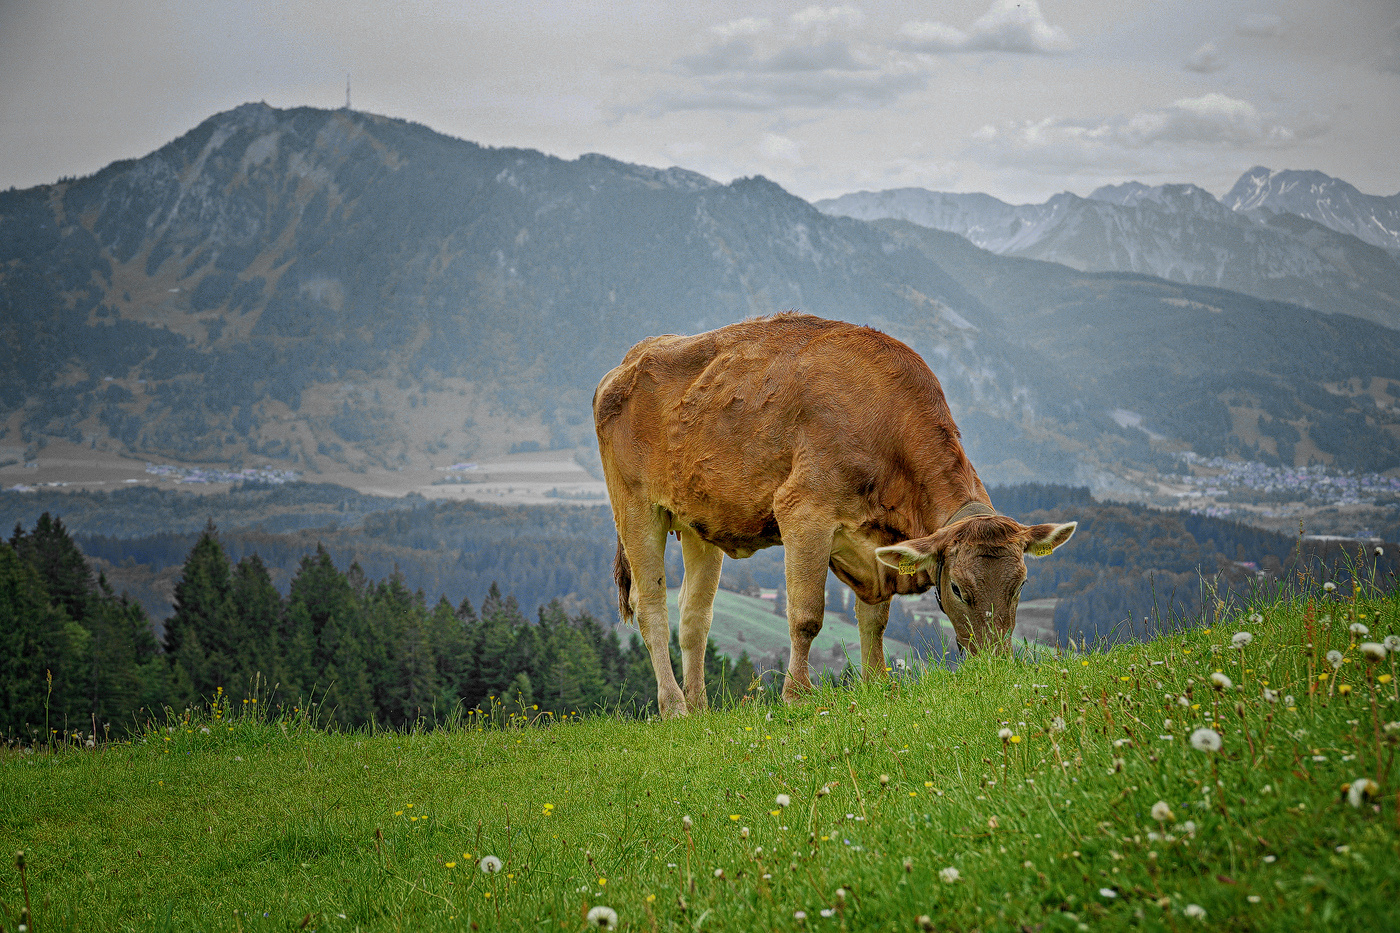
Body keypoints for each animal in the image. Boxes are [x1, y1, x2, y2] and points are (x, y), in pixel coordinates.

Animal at [590, 312, 1069, 711]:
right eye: (958, 590)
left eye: (1020, 587)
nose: (995, 667)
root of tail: (629, 360)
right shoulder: (804, 512)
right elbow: (807, 616)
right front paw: (797, 695)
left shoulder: (873, 545)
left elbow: (875, 619)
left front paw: (877, 684)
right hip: (636, 508)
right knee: (651, 606)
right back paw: (673, 707)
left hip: (697, 522)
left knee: (694, 617)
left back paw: (699, 710)